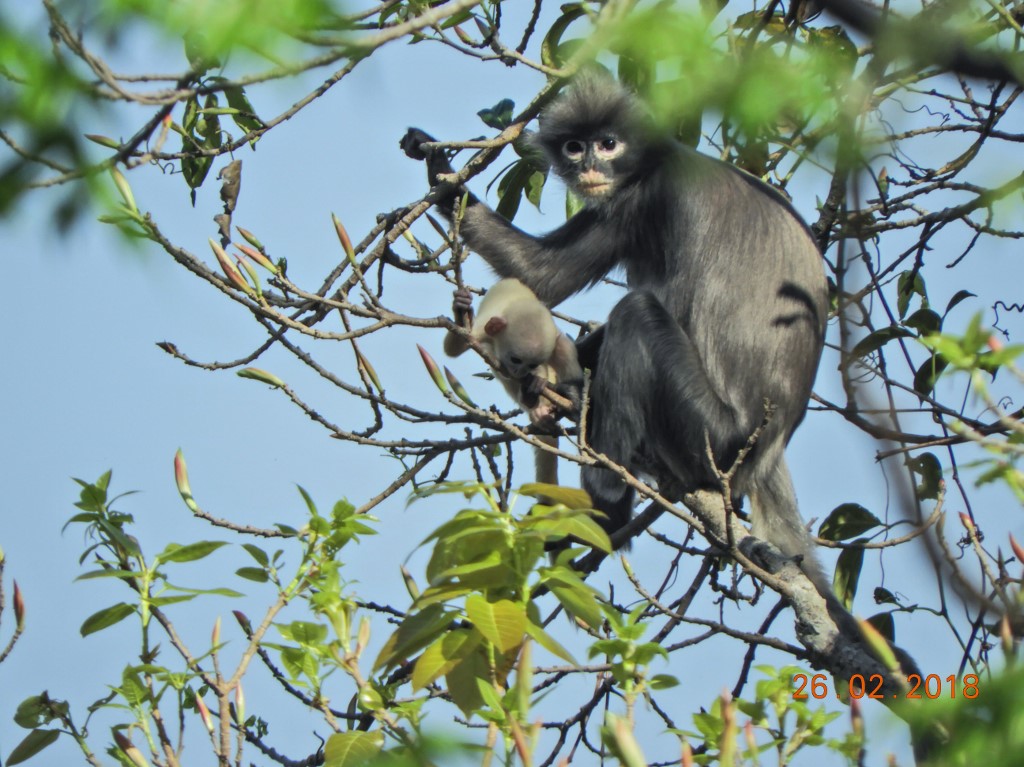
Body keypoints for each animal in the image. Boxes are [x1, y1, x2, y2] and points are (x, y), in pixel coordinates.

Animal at [442, 280, 581, 481]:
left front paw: (544, 383)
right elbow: (454, 347)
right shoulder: (482, 330)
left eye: (531, 364)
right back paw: (534, 403)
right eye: (516, 360)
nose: (520, 372)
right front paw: (461, 308)